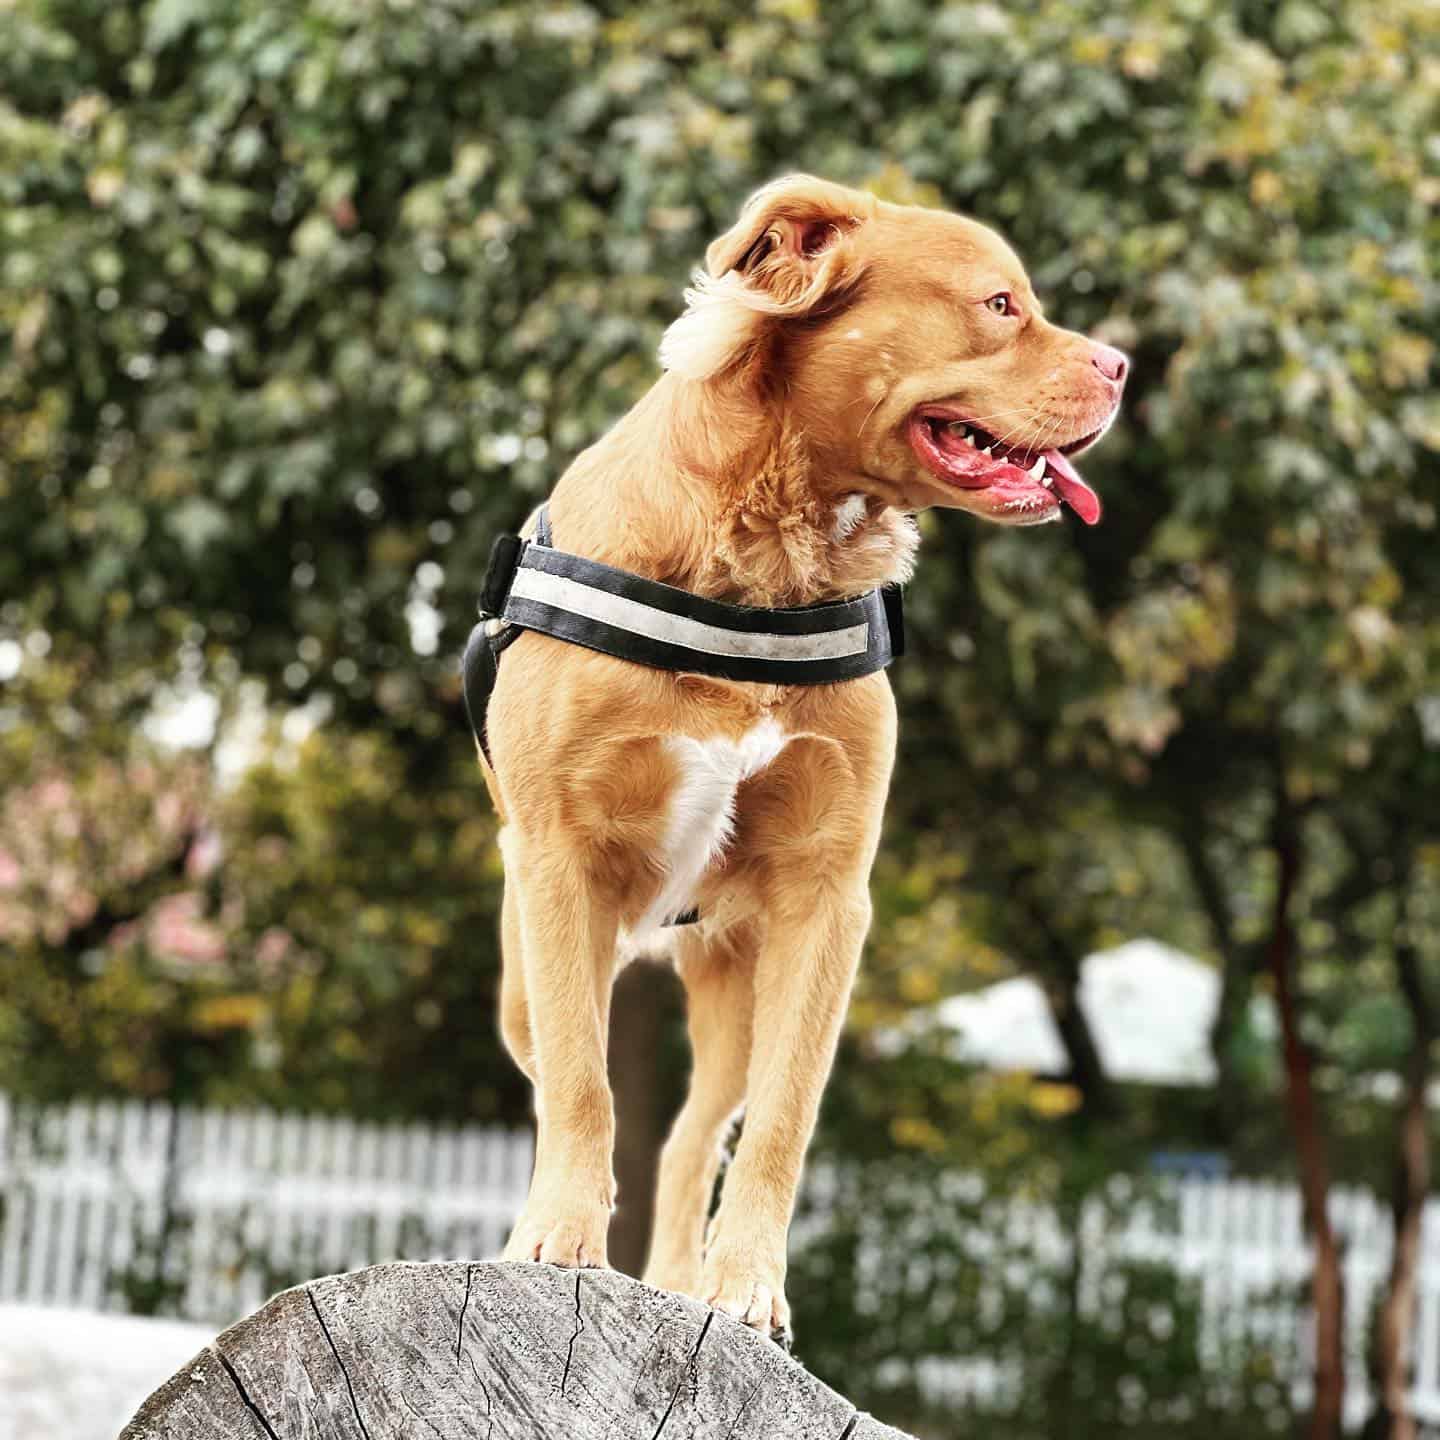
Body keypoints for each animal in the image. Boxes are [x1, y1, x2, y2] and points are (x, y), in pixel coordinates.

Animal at [483, 177, 1123, 1336]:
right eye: (1001, 304)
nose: (1121, 366)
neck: (766, 559)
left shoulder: (825, 896)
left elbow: (783, 1118)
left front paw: (747, 1290)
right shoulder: (559, 859)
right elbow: (583, 1085)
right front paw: (555, 1243)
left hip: (734, 973)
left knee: (696, 1137)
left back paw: (678, 1278)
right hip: (533, 967)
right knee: (571, 1075)